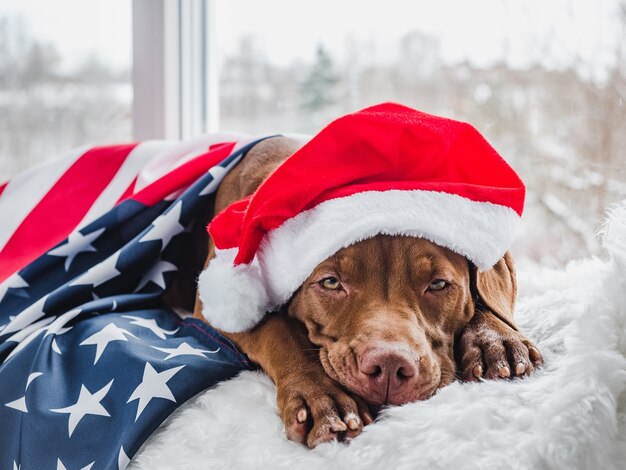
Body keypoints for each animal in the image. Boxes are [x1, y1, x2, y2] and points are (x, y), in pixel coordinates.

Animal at [190, 136, 540, 448]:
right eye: (331, 283)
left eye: (439, 284)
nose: (389, 367)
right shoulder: (213, 306)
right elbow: (278, 331)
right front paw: (323, 398)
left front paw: (495, 339)